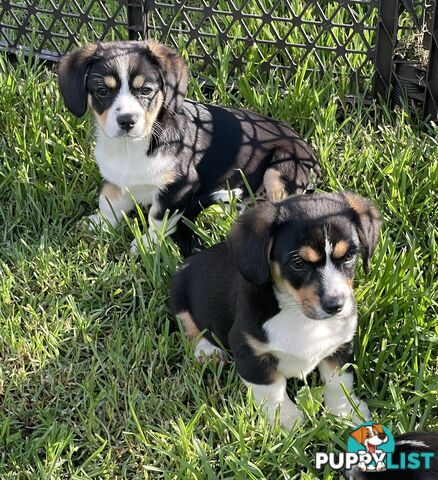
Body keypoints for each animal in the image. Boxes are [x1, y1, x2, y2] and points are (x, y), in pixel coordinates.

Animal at [57, 40, 318, 255]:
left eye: (146, 90)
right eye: (102, 91)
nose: (127, 121)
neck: (132, 147)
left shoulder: (179, 187)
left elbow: (157, 218)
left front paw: (146, 245)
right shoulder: (114, 179)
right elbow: (109, 203)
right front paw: (99, 223)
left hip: (280, 170)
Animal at [170, 191, 380, 428]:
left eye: (349, 257)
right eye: (298, 263)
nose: (335, 306)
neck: (297, 313)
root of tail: (193, 256)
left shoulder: (340, 346)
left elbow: (339, 380)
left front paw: (346, 412)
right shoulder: (250, 351)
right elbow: (272, 389)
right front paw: (286, 420)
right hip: (178, 294)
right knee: (189, 326)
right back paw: (207, 352)